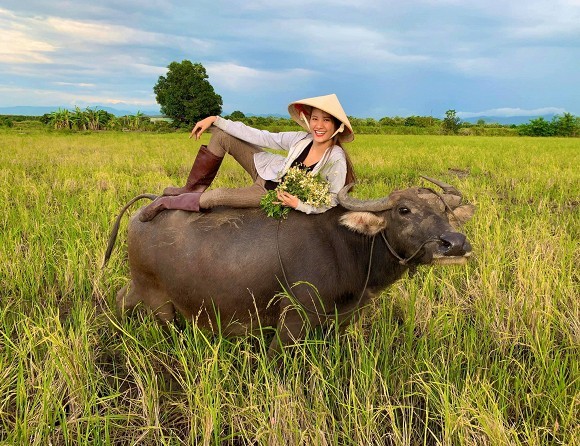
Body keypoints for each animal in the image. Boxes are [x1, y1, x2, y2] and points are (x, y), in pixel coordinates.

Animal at [105, 176, 476, 358]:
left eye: (445, 211)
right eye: (403, 210)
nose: (454, 243)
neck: (349, 246)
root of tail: (147, 207)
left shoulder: (339, 320)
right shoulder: (295, 318)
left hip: (139, 287)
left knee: (120, 298)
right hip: (158, 301)